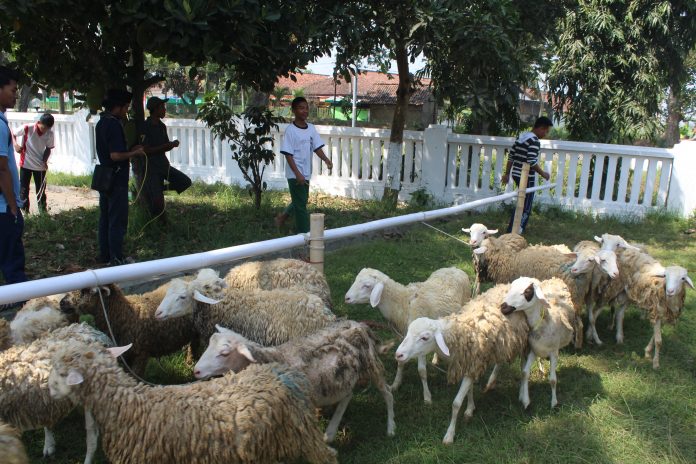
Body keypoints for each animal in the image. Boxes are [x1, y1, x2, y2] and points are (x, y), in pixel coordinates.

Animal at [48, 340, 338, 464]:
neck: (128, 405)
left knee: (326, 457)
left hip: (302, 434)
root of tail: (287, 374)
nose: (49, 391)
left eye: (61, 373)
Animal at [194, 320, 395, 442]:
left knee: (387, 393)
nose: (196, 371)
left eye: (224, 353)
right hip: (340, 376)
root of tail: (360, 325)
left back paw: (391, 427)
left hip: (372, 364)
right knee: (347, 395)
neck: (270, 359)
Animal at [344, 267, 471, 403]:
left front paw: (427, 397)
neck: (403, 303)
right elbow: (400, 362)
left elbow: (422, 371)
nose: (346, 298)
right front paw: (395, 384)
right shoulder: (405, 337)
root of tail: (454, 268)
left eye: (367, 285)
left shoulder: (420, 342)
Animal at [394, 283, 528, 444]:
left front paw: (449, 435)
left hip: (520, 340)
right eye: (408, 332)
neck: (462, 332)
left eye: (425, 338)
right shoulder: (470, 364)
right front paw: (470, 409)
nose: (398, 354)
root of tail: (505, 284)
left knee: (520, 365)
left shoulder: (472, 364)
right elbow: (469, 391)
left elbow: (456, 403)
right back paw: (491, 383)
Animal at [500, 277, 575, 409]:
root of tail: (555, 278)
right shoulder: (533, 350)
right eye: (511, 287)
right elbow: (525, 373)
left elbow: (553, 380)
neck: (541, 323)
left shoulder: (554, 353)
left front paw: (554, 403)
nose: (502, 307)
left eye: (527, 291)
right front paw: (525, 401)